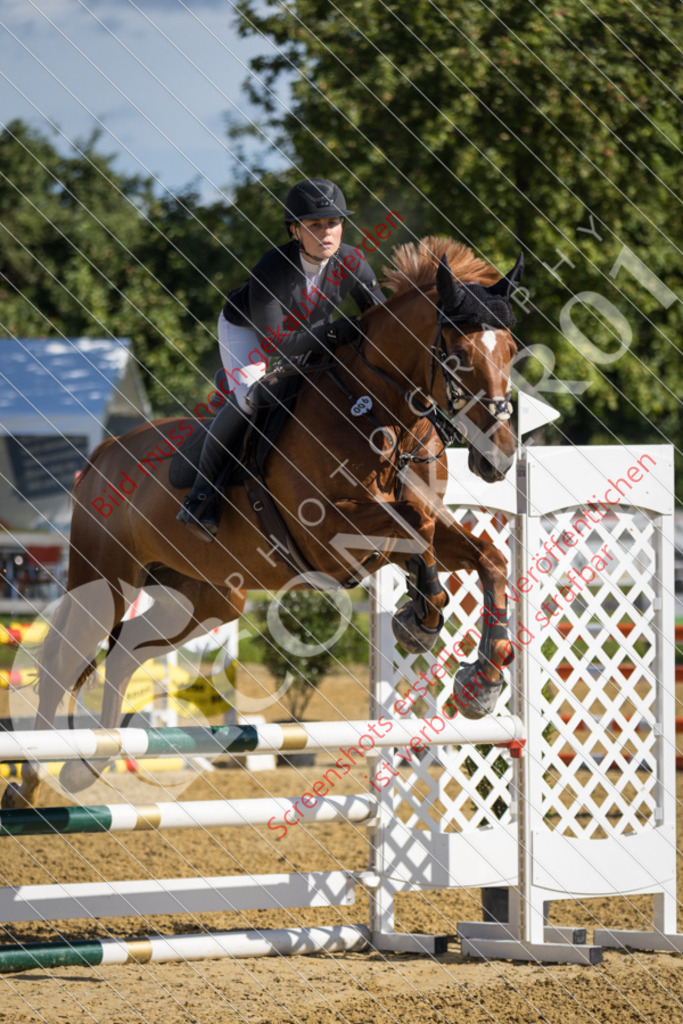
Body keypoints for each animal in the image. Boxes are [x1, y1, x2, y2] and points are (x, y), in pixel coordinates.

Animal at [1, 237, 524, 806]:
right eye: (458, 354)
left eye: (510, 349)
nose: (498, 459)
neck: (380, 416)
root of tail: (100, 458)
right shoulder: (328, 535)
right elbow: (415, 529)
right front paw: (420, 619)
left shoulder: (416, 519)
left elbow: (481, 553)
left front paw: (482, 679)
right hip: (105, 581)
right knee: (63, 663)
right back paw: (31, 781)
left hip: (205, 598)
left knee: (124, 654)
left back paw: (86, 768)